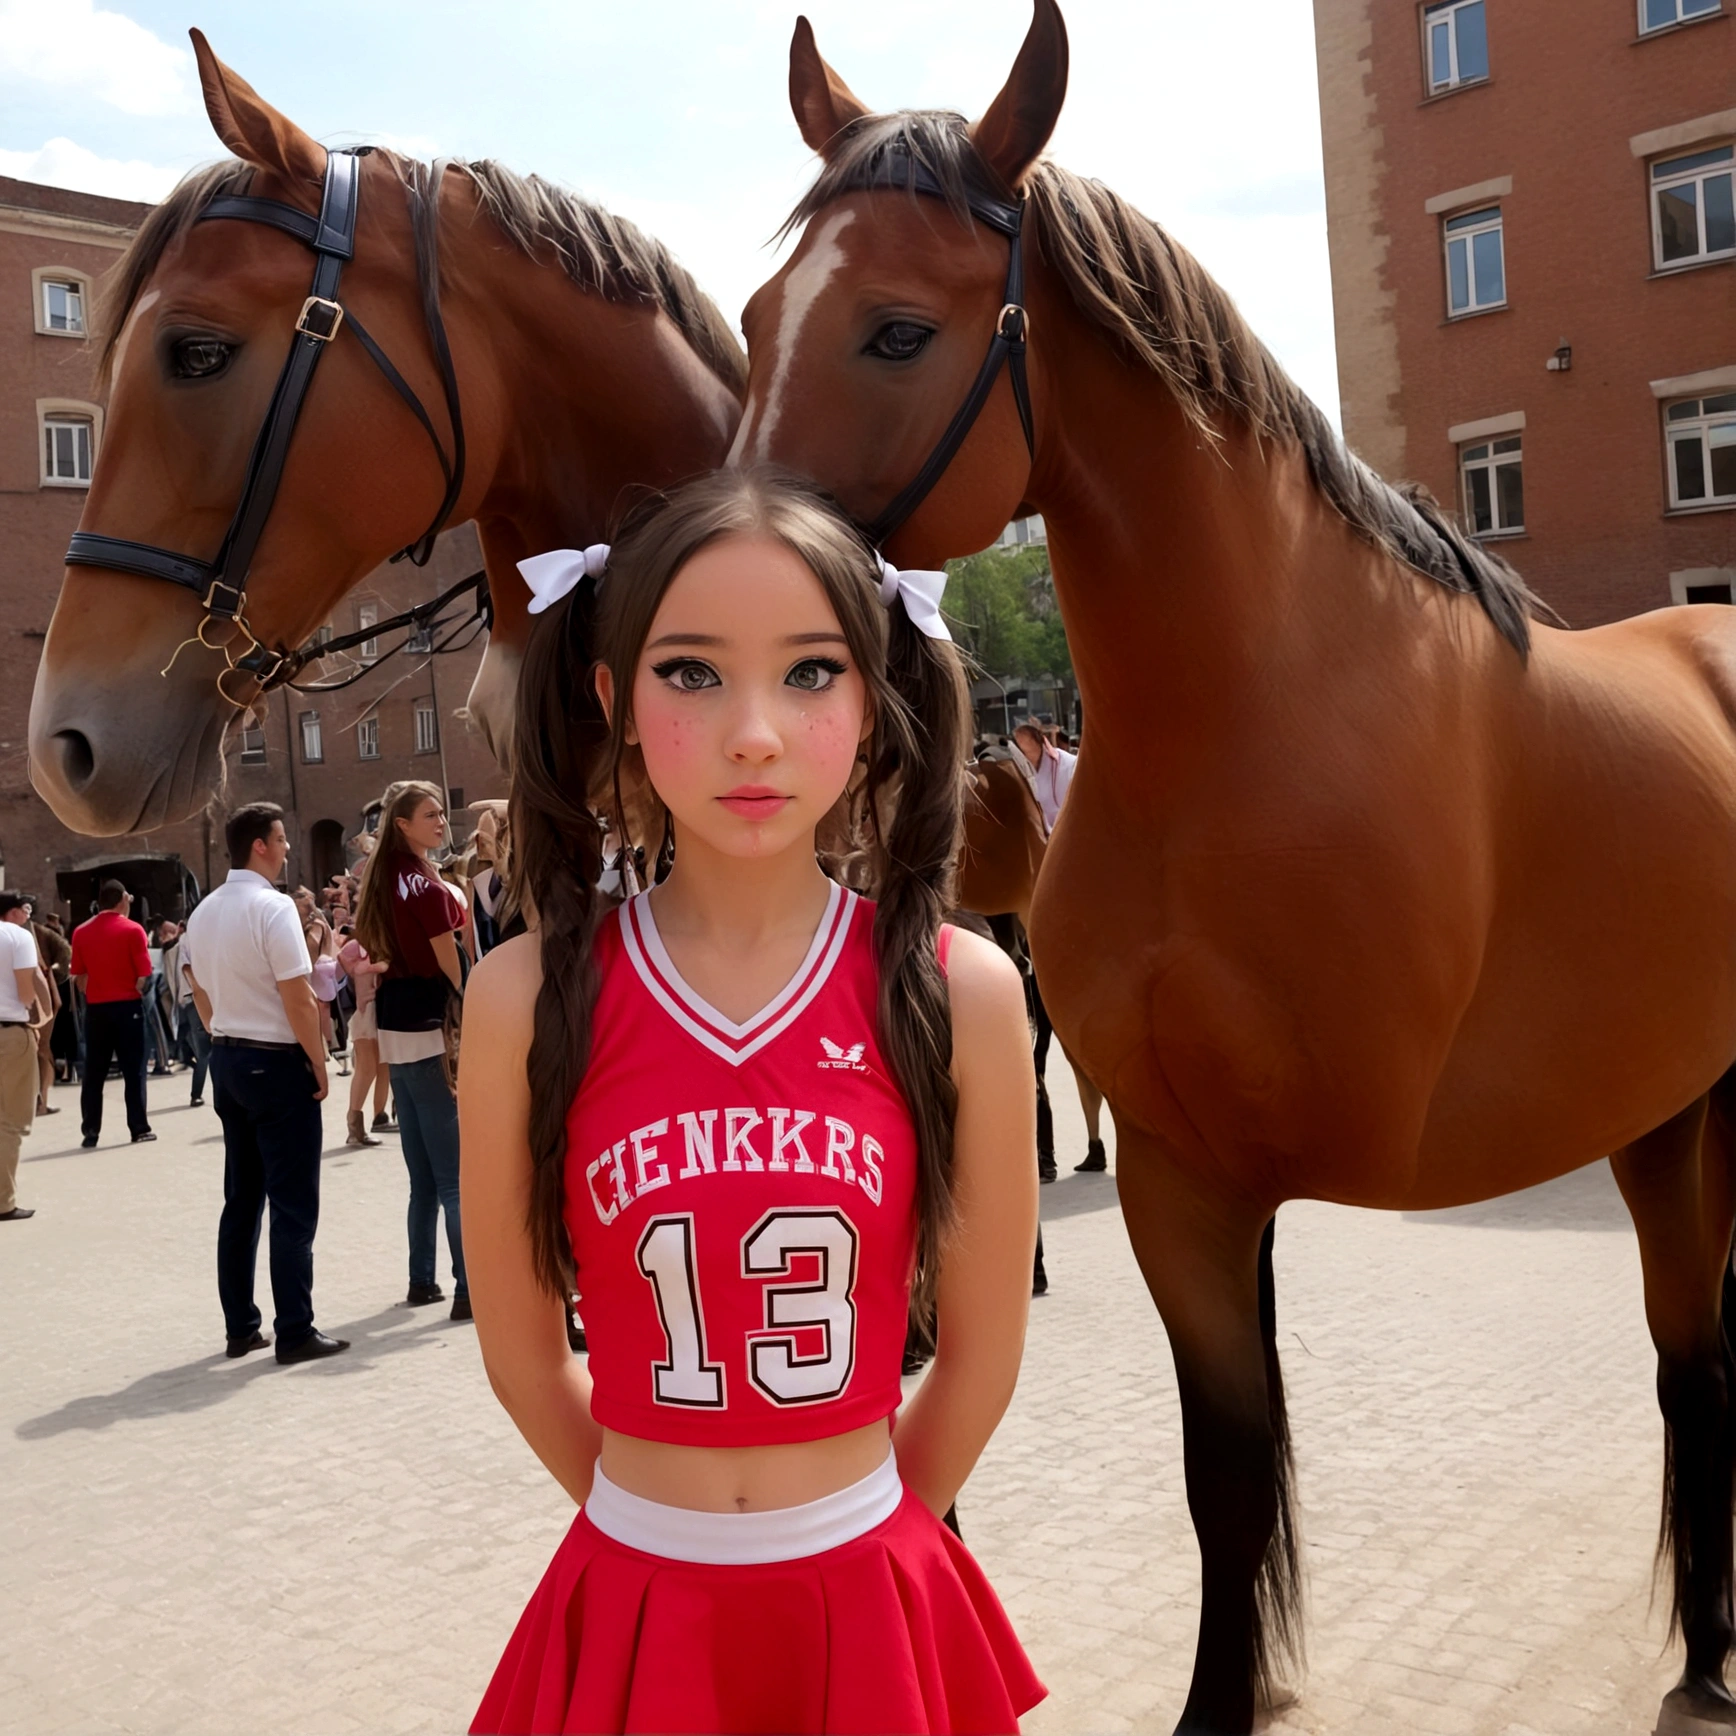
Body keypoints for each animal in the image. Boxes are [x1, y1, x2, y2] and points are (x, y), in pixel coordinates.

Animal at [739, 6, 1736, 1729]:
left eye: (895, 332)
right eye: (752, 319)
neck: (1253, 723)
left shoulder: (1265, 1168)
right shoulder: (1181, 1178)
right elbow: (1228, 1474)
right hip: (1661, 1118)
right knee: (1696, 1371)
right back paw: (1714, 1652)